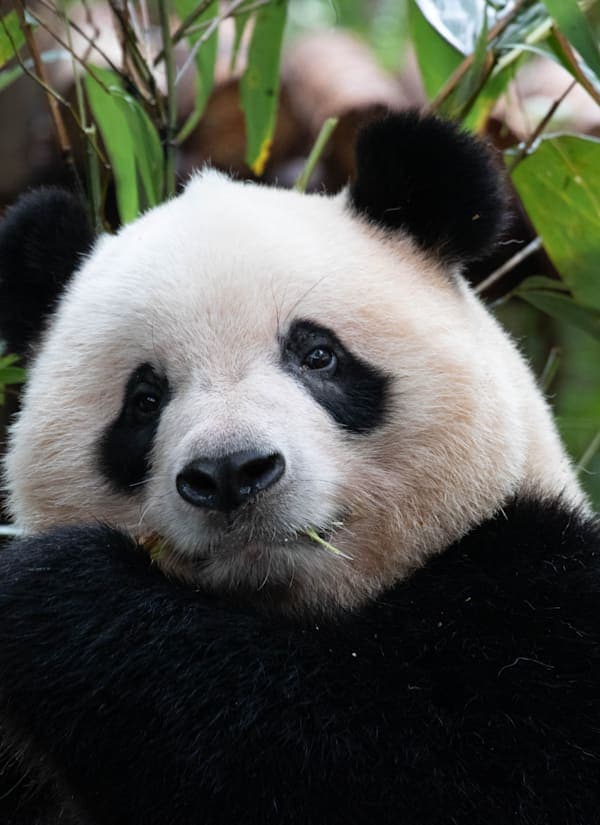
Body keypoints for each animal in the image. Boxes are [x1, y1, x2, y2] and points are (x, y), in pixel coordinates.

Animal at [0, 112, 597, 825]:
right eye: (144, 400)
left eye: (317, 355)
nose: (230, 472)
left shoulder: (538, 608)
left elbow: (384, 758)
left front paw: (54, 590)